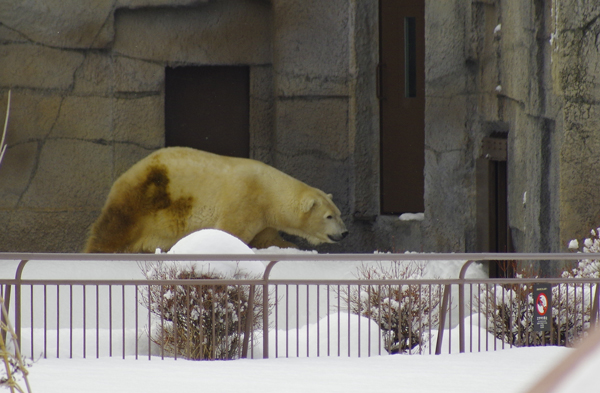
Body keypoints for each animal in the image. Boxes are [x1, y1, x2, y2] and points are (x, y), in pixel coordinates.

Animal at [84, 146, 346, 251]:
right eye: (328, 216)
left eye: (339, 213)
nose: (344, 233)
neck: (269, 192)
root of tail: (125, 175)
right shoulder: (245, 201)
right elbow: (231, 232)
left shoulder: (264, 218)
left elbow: (268, 239)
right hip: (145, 198)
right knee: (113, 229)